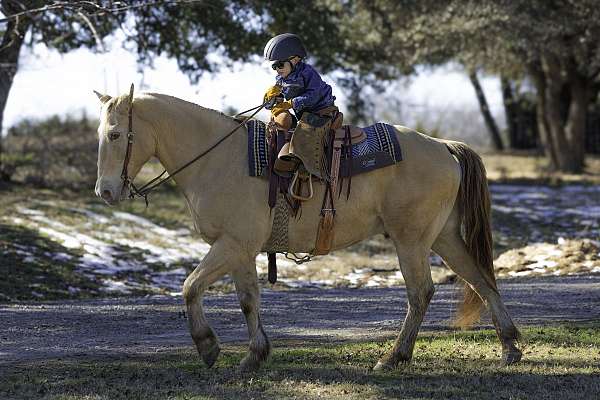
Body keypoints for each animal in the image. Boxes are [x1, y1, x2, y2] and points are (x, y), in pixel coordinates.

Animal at [94, 87, 520, 372]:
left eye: (115, 134)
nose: (105, 191)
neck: (215, 158)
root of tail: (444, 146)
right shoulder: (240, 250)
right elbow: (248, 300)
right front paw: (255, 355)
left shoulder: (230, 245)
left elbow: (190, 287)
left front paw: (208, 347)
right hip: (444, 237)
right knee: (480, 279)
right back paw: (510, 347)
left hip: (411, 240)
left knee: (421, 293)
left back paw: (393, 357)